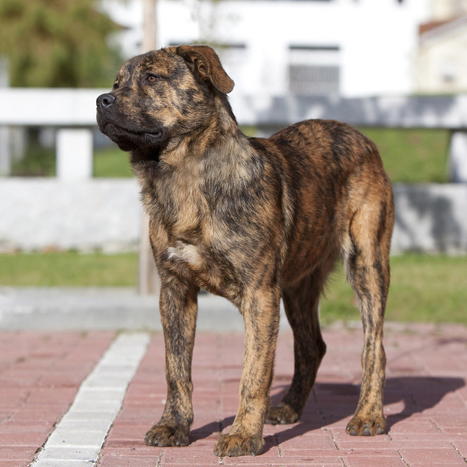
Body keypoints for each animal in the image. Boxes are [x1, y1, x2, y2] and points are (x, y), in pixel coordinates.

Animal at [97, 45, 396, 458]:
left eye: (153, 77)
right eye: (116, 83)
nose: (101, 100)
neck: (186, 177)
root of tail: (360, 137)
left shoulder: (259, 294)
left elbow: (254, 373)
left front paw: (243, 435)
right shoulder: (175, 291)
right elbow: (176, 369)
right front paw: (174, 425)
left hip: (367, 264)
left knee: (374, 347)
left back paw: (368, 415)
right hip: (298, 287)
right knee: (312, 346)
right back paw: (289, 408)